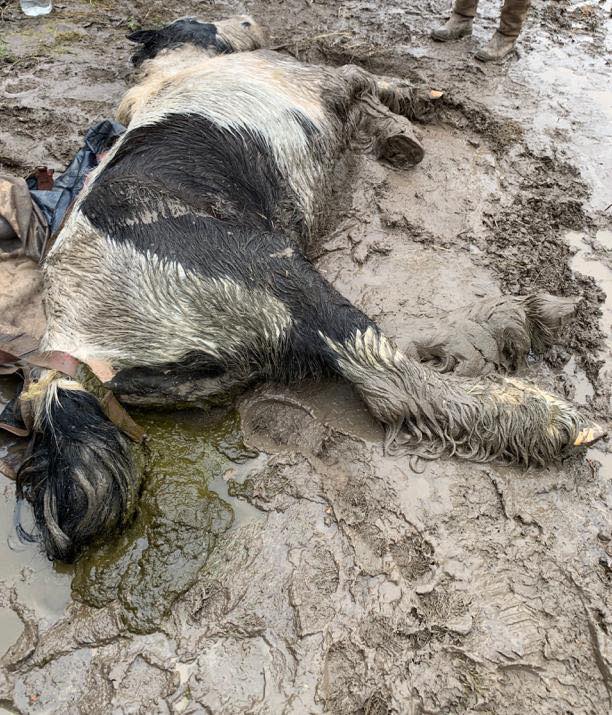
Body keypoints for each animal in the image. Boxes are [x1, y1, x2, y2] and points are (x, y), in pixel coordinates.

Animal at [14, 16, 604, 564]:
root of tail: (71, 347)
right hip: (265, 265)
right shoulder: (313, 78)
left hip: (216, 357)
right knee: (382, 375)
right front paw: (426, 101)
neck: (177, 68)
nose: (249, 19)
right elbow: (360, 73)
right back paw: (557, 405)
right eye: (203, 21)